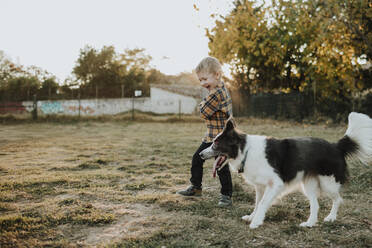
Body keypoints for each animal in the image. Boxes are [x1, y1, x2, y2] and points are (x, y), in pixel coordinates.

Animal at [201, 112, 372, 229]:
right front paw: (252, 216)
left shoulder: (275, 183)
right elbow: (257, 203)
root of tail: (336, 146)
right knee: (316, 204)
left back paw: (331, 217)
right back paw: (309, 223)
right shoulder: (260, 186)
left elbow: (263, 203)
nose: (201, 155)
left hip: (328, 182)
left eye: (216, 143)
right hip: (309, 184)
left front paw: (256, 222)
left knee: (338, 199)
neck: (246, 151)